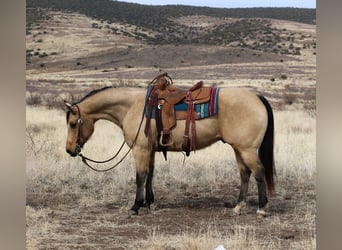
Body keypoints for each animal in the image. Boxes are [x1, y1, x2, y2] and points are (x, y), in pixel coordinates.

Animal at [64, 73, 274, 217]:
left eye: (73, 124)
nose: (70, 150)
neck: (132, 107)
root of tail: (257, 97)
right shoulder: (149, 150)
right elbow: (150, 175)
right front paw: (150, 203)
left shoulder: (140, 150)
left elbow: (140, 177)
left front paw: (136, 206)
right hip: (239, 149)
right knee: (245, 174)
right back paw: (238, 207)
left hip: (247, 150)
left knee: (259, 173)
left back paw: (262, 209)